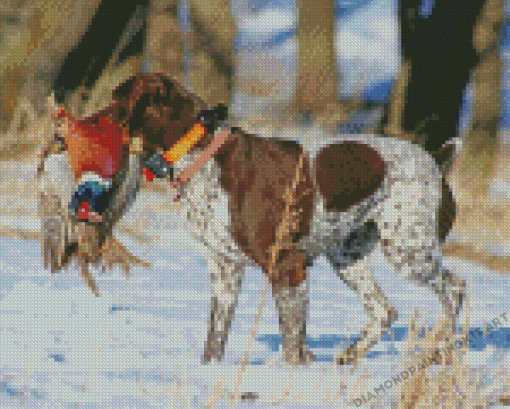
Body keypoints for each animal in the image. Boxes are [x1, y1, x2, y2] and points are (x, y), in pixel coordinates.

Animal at [38, 73, 466, 366]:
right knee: (383, 310)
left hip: (409, 250)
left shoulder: (287, 266)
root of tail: (435, 160)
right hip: (347, 256)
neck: (201, 155)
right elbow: (215, 338)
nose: (70, 124)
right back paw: (350, 356)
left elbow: (292, 341)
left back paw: (442, 349)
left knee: (455, 288)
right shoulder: (225, 268)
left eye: (115, 104)